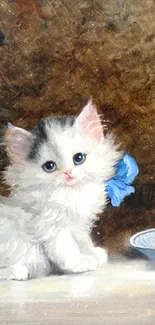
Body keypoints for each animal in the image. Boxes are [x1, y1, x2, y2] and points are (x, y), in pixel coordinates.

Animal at [0, 100, 121, 280]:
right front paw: (81, 263)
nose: (68, 172)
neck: (69, 193)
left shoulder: (77, 224)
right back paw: (16, 271)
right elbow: (66, 248)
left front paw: (93, 253)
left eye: (79, 158)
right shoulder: (50, 225)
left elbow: (82, 240)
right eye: (49, 166)